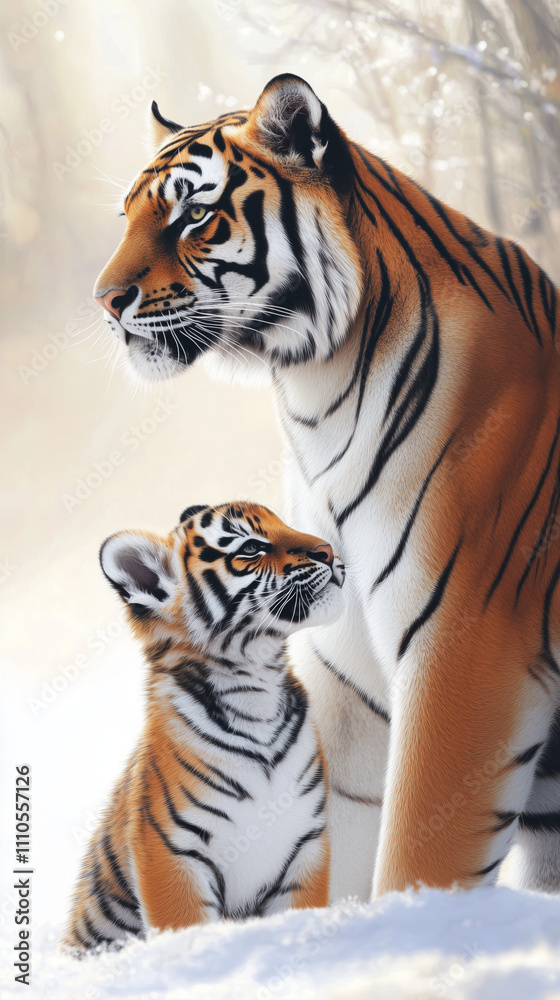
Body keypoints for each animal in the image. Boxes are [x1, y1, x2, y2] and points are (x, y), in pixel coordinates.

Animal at [63, 501, 344, 952]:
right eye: (251, 547)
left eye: (284, 523)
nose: (329, 551)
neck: (256, 690)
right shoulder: (170, 855)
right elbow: (187, 932)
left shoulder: (306, 845)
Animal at [93, 74, 560, 898]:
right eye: (131, 217)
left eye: (192, 215)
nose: (104, 300)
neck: (319, 391)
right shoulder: (348, 676)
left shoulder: (469, 653)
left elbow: (417, 860)